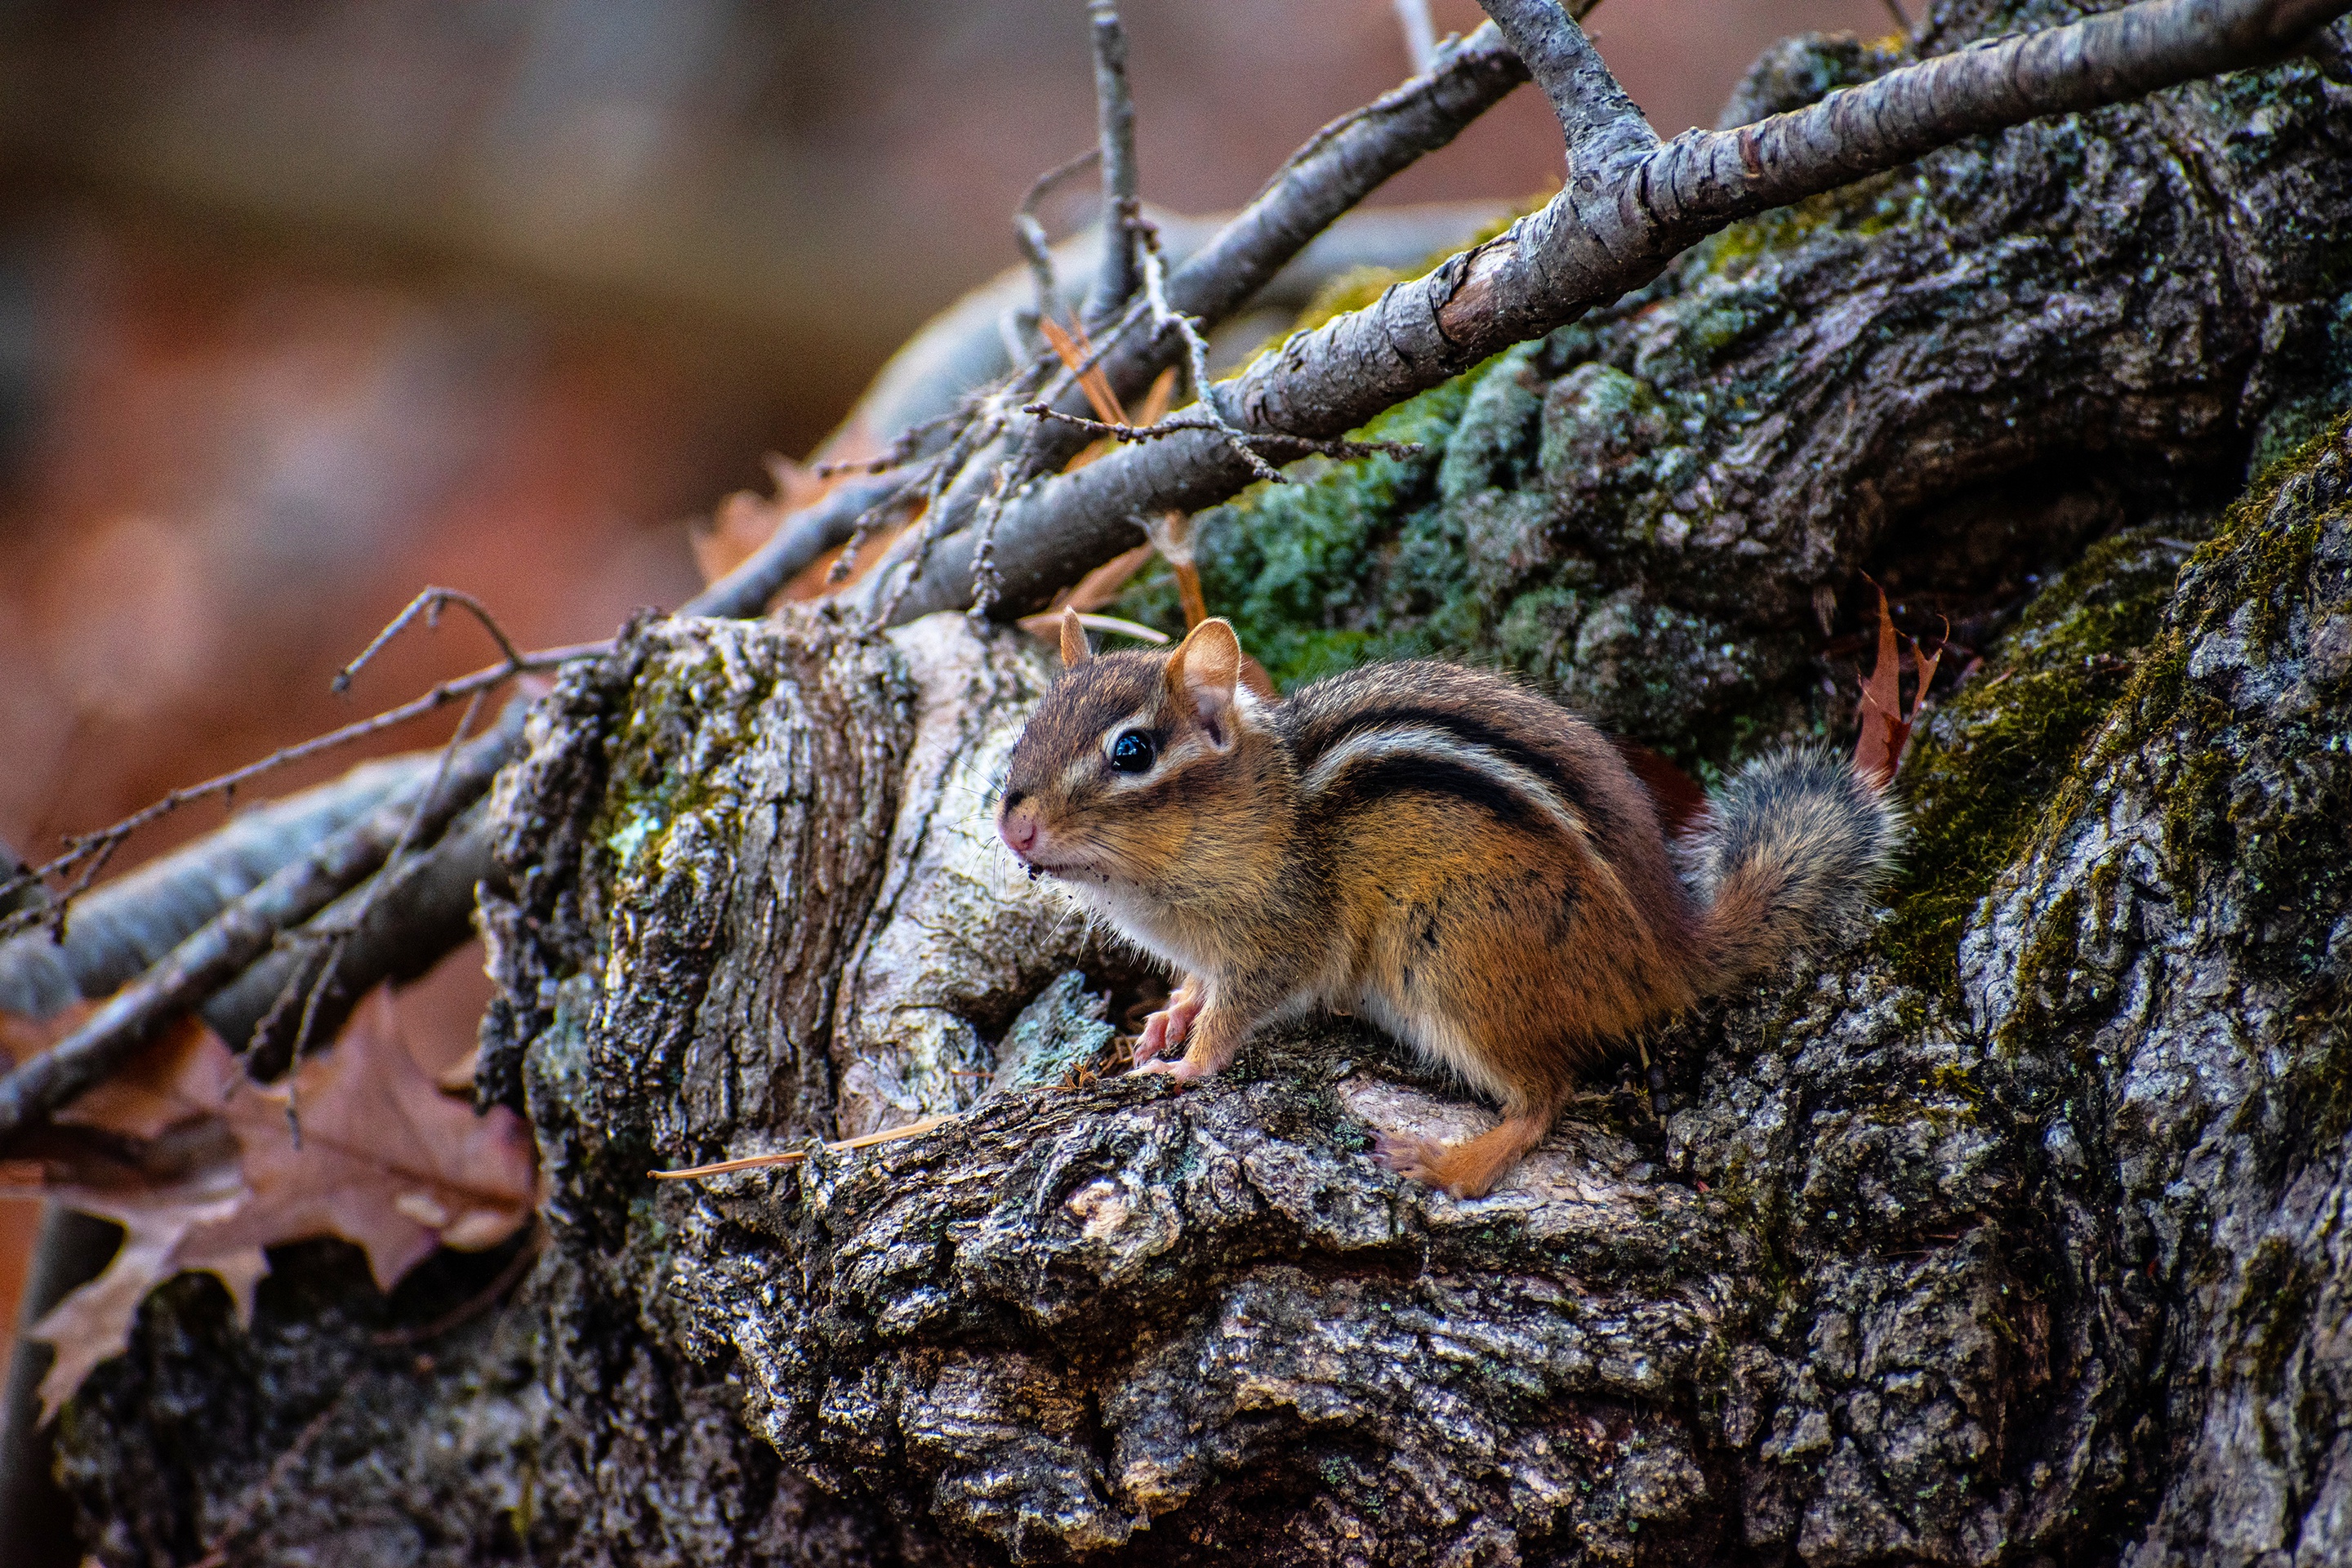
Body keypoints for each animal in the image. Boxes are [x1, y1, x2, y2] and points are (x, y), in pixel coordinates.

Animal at [996, 610, 1901, 1199]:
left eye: (1131, 752)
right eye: (1026, 727)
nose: (1014, 827)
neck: (1260, 808)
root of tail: (1669, 952)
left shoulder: (1283, 935)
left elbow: (1240, 1008)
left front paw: (1188, 1063)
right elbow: (1196, 986)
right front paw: (1163, 1021)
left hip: (1455, 960)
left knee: (1545, 1099)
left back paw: (1450, 1164)